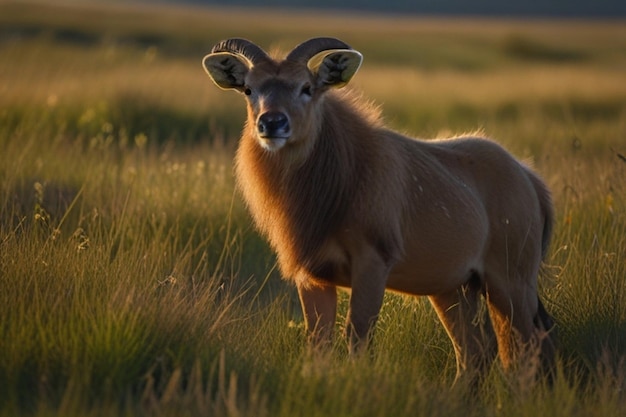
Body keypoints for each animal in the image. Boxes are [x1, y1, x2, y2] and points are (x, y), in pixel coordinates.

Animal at [202, 37, 552, 382]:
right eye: (249, 89)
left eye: (306, 87)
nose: (272, 123)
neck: (341, 176)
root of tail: (530, 179)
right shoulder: (314, 277)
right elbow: (318, 341)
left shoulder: (373, 262)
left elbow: (357, 335)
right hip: (454, 289)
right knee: (474, 352)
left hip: (511, 280)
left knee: (527, 346)